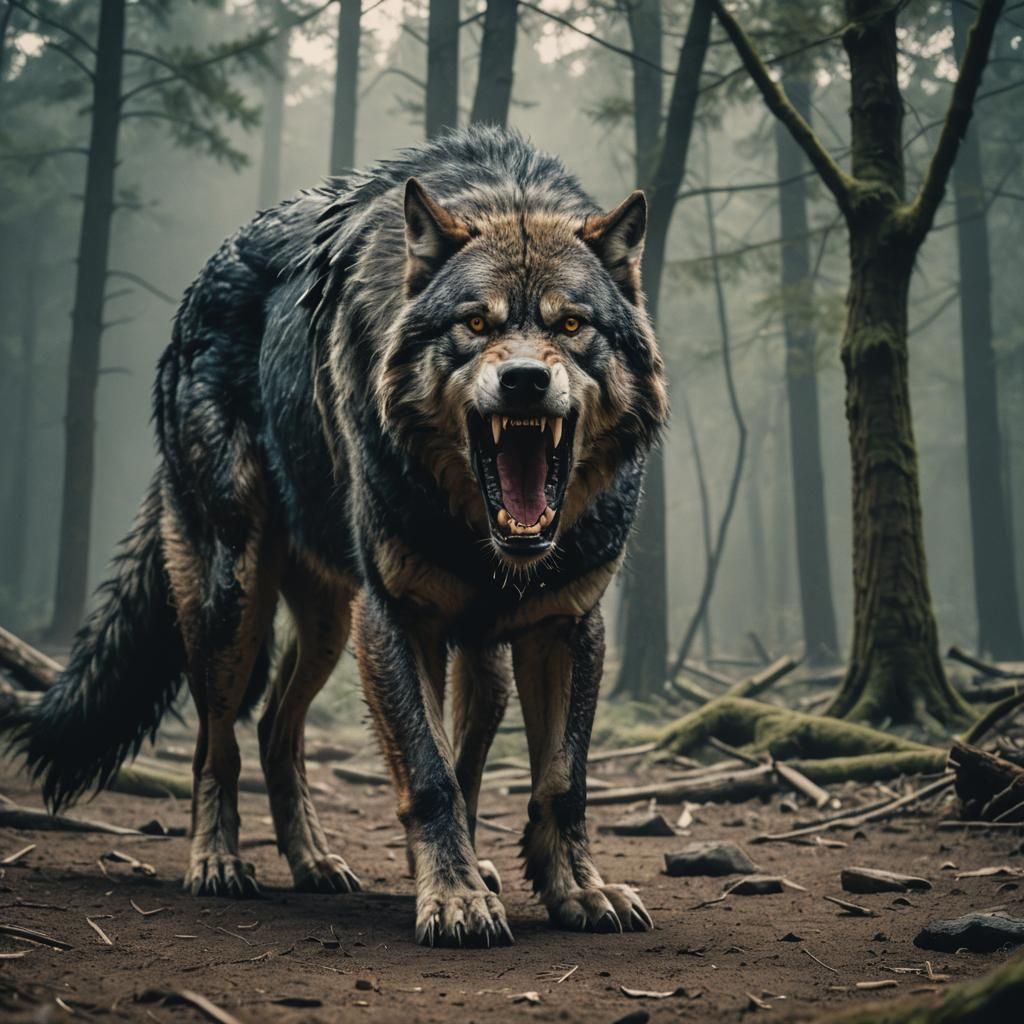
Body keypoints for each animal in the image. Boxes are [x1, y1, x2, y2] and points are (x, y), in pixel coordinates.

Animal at [9, 126, 668, 946]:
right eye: (475, 324)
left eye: (571, 325)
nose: (523, 380)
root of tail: (195, 296)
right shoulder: (396, 618)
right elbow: (429, 774)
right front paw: (454, 899)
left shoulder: (567, 626)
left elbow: (559, 780)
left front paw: (576, 889)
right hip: (237, 605)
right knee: (217, 744)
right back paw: (217, 862)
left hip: (365, 635)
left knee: (280, 730)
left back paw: (320, 862)